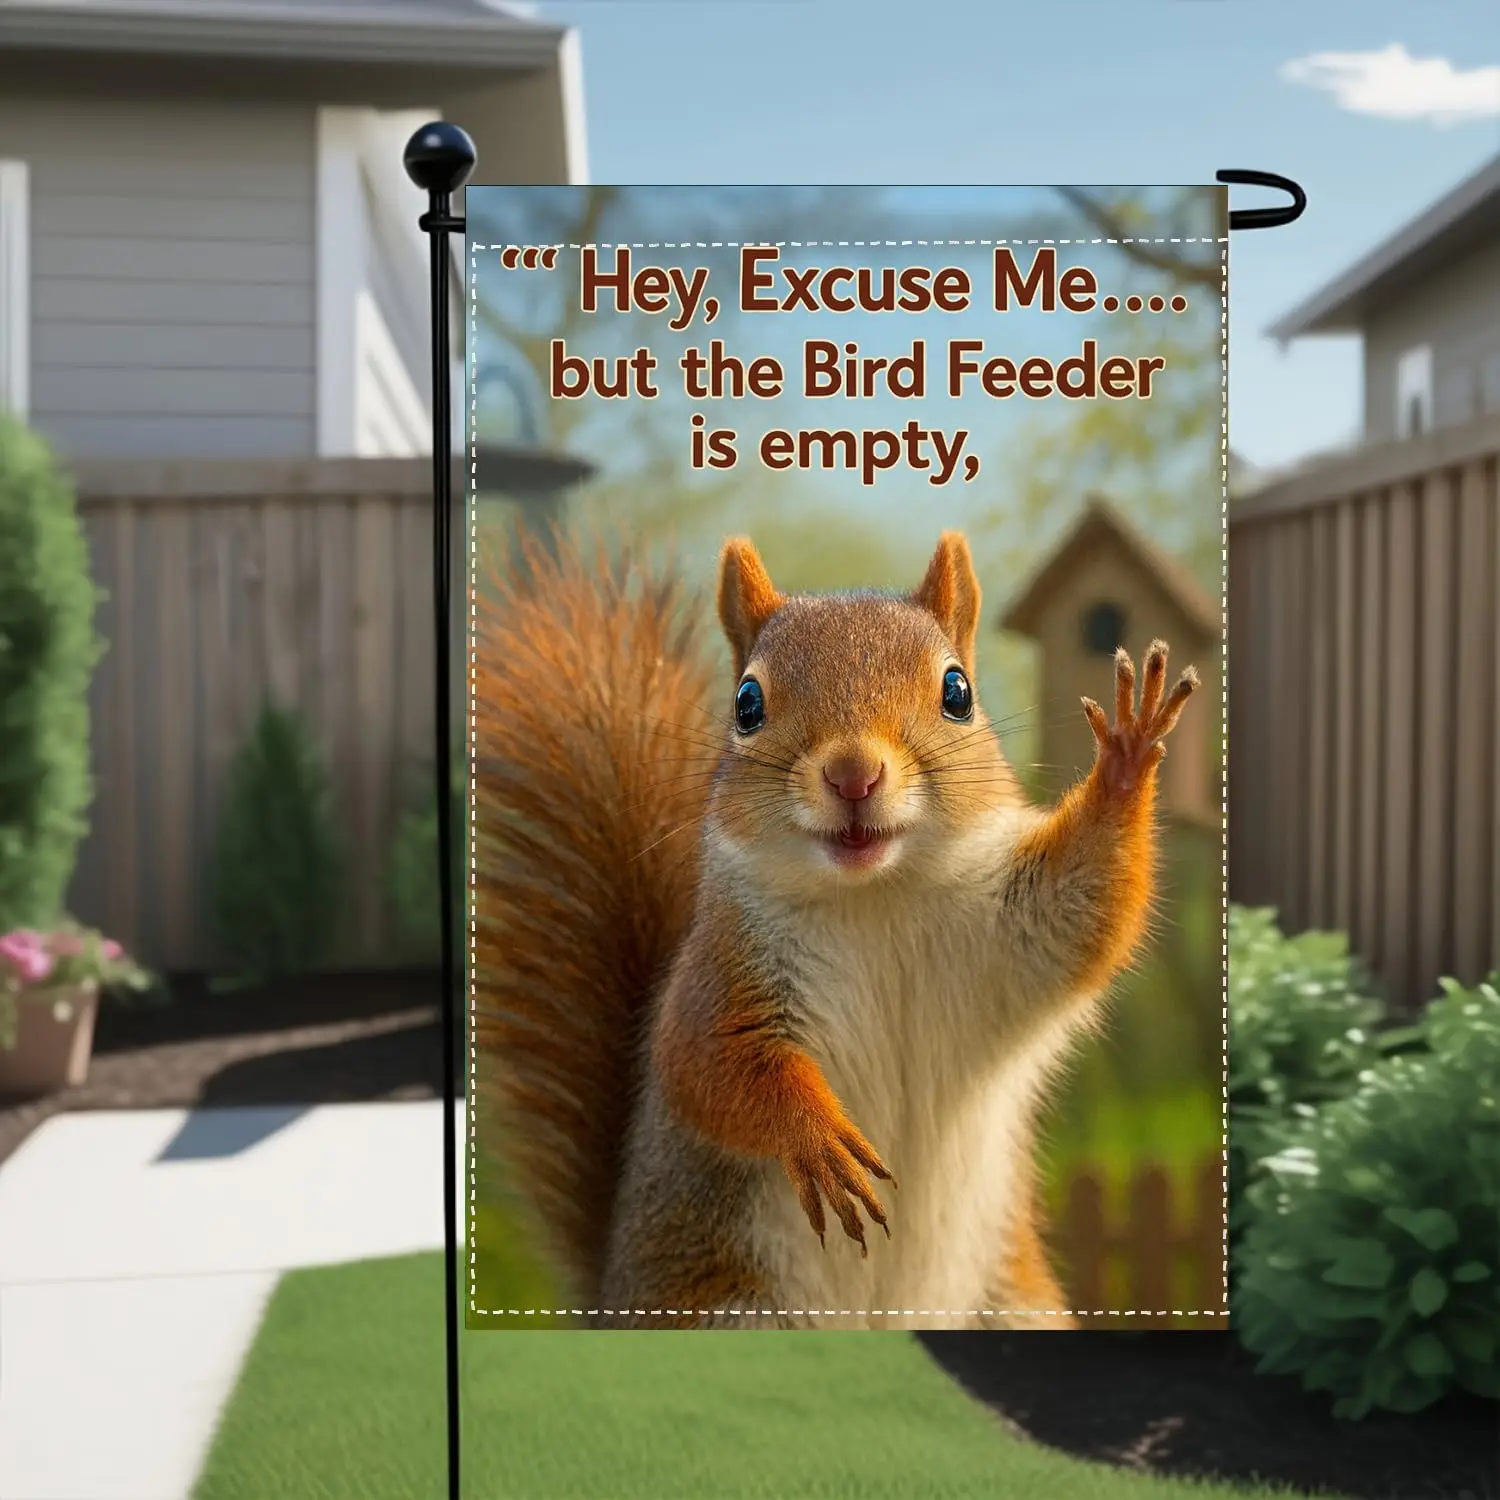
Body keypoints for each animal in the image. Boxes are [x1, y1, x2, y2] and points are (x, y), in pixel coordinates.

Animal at [470, 526, 1199, 1330]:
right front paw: (816, 1141)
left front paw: (1128, 754)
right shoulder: (721, 978)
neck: (875, 899)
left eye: (957, 692)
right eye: (747, 703)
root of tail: (611, 1300)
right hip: (731, 1311)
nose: (854, 774)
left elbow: (1088, 909)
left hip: (1012, 1308)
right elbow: (709, 1066)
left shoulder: (1017, 928)